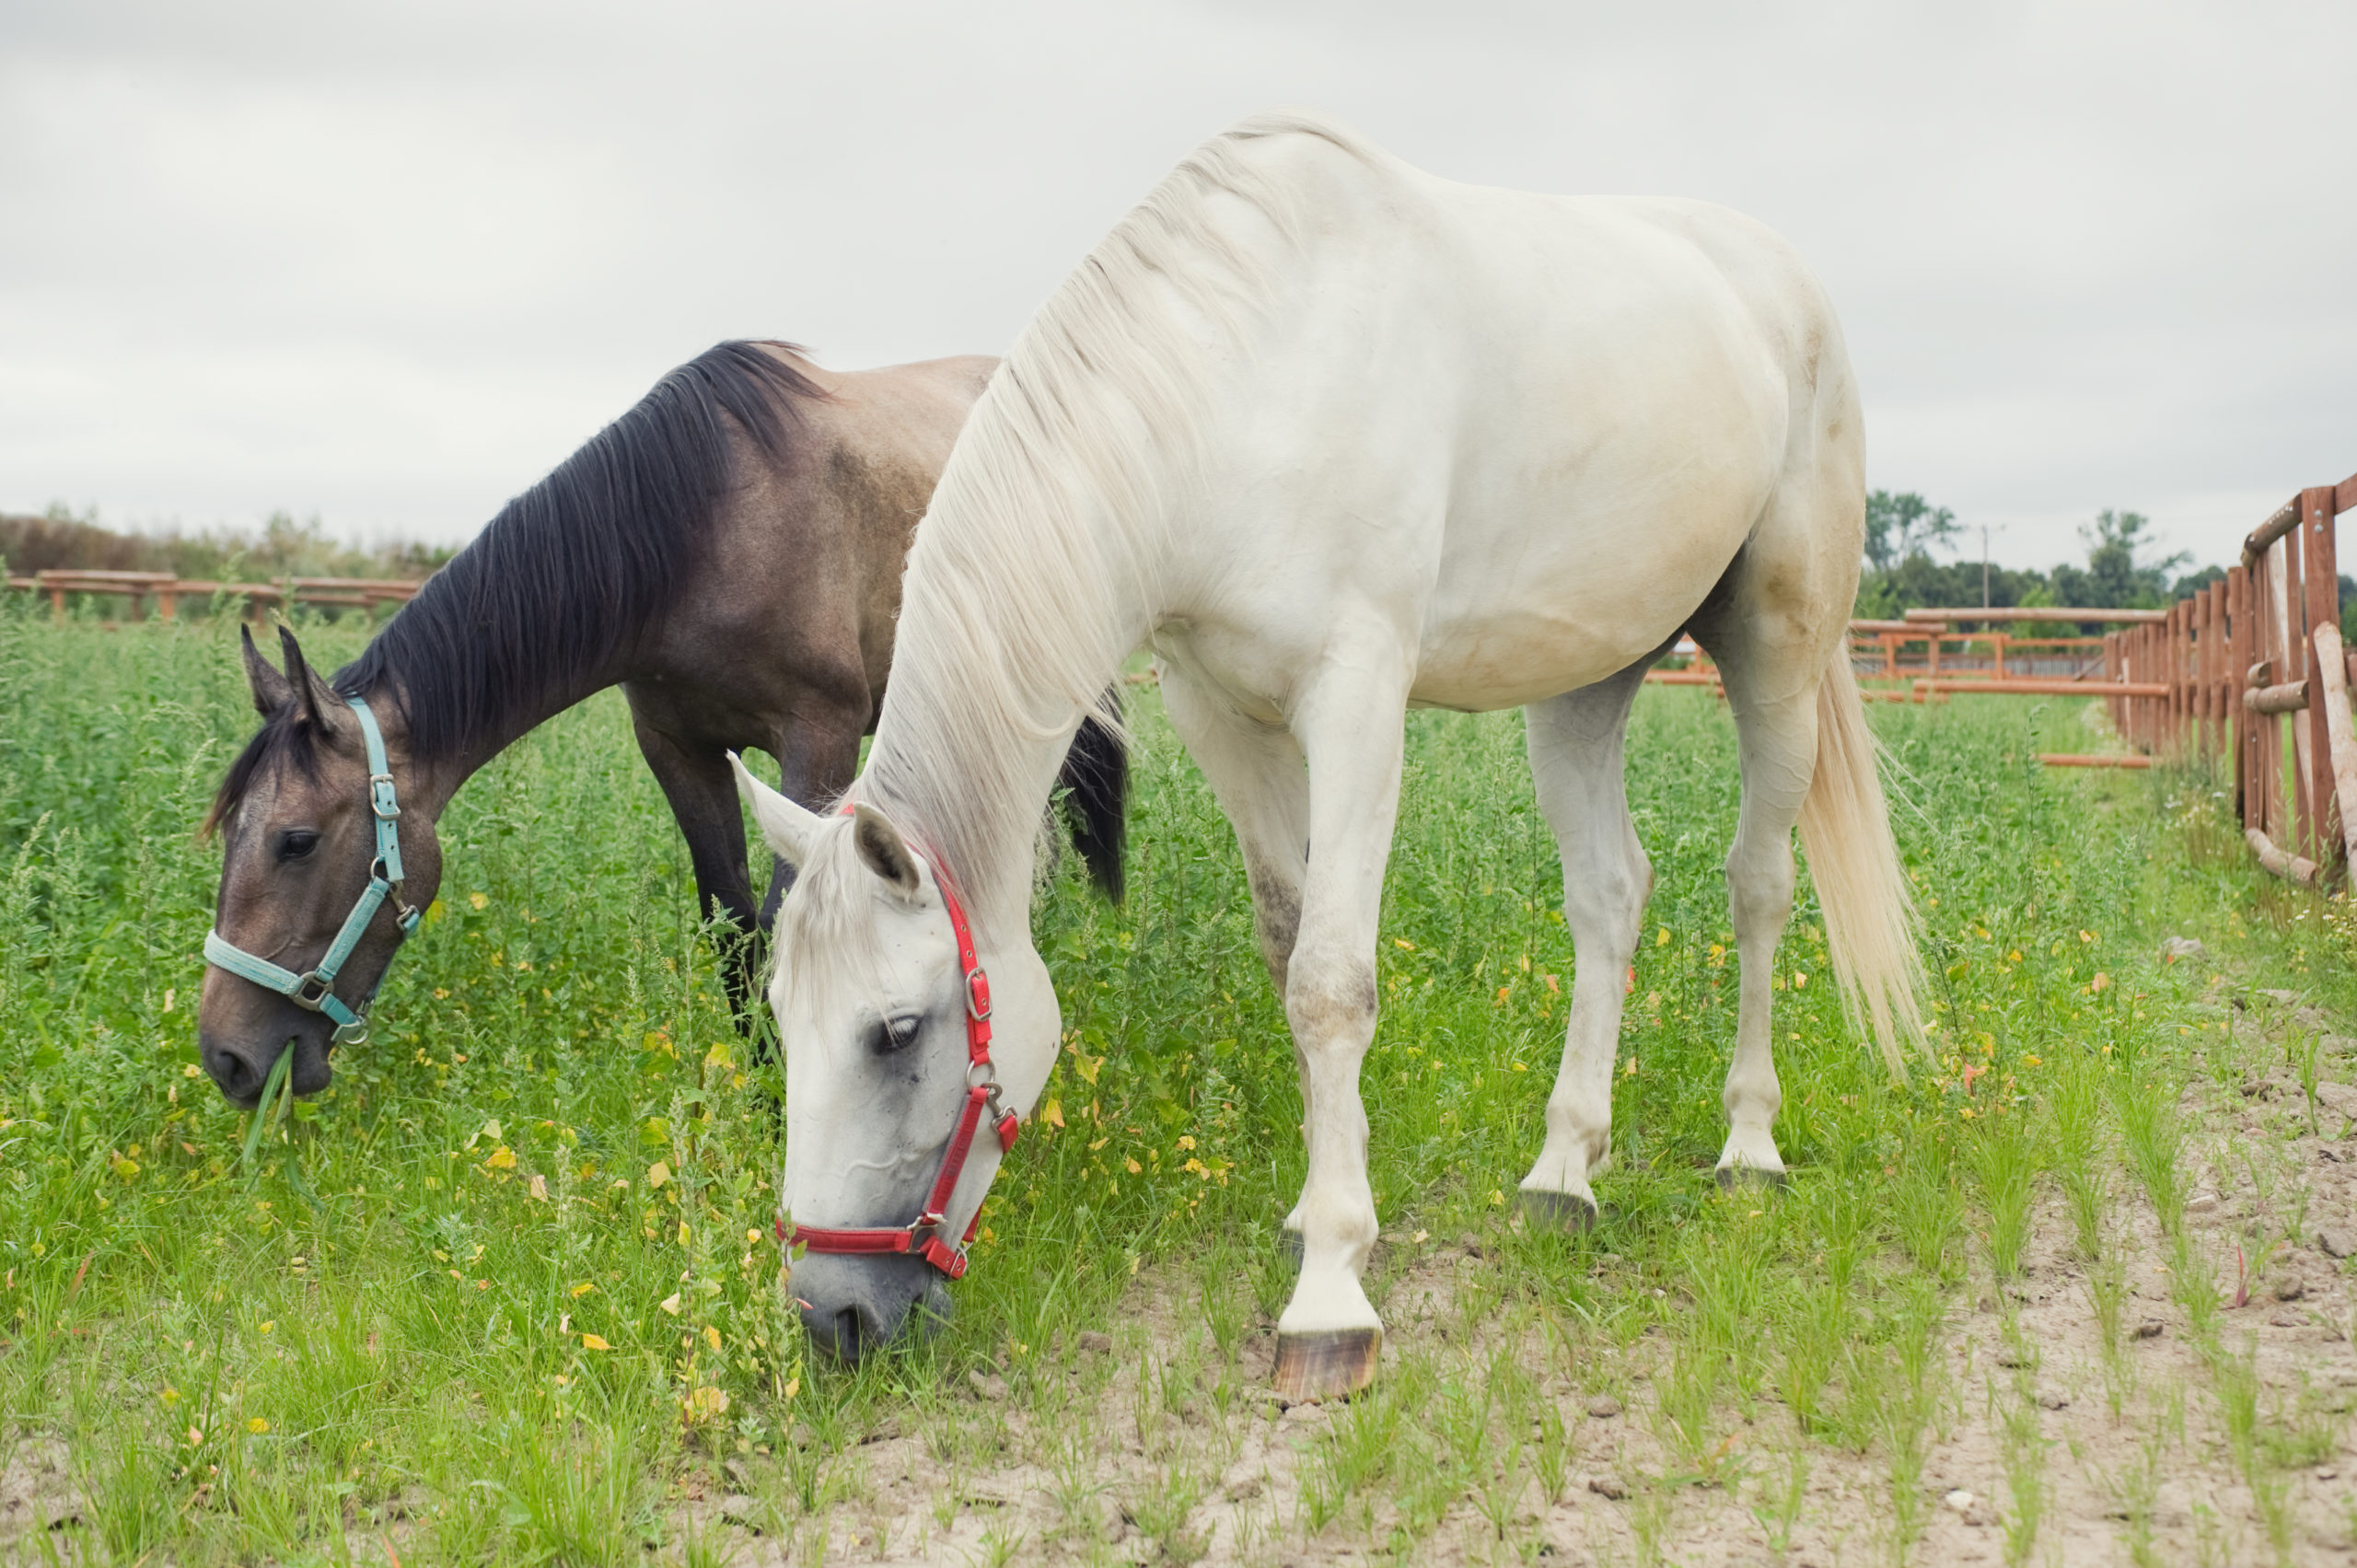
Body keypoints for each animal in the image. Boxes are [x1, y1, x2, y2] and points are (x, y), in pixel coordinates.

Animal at [198, 342, 1126, 1108]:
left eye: (295, 841)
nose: (226, 1060)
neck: (704, 532)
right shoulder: (679, 750)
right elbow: (735, 929)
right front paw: (766, 1094)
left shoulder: (818, 738)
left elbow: (790, 918)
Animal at [739, 116, 1933, 1396]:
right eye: (781, 1015)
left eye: (897, 1031)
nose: (829, 1315)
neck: (1239, 379)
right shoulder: (1220, 710)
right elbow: (1288, 945)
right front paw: (1318, 1217)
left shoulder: (1357, 696)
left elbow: (1331, 982)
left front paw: (1330, 1298)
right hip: (1582, 684)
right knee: (1610, 895)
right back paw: (1564, 1172)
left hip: (1777, 652)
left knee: (1757, 884)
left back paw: (1748, 1143)